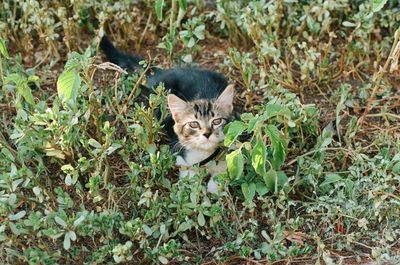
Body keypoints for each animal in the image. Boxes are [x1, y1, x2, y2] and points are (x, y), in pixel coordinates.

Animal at [99, 35, 234, 192]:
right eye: (194, 124)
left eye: (216, 121)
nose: (207, 134)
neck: (205, 155)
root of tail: (164, 72)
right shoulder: (180, 152)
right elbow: (188, 171)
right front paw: (192, 184)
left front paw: (215, 187)